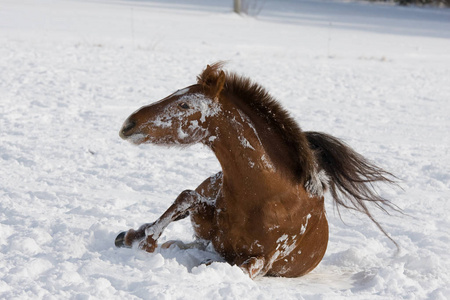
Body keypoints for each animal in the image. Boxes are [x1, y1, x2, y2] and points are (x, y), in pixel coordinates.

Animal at [115, 61, 398, 278]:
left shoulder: (262, 261)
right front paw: (142, 239)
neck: (263, 196)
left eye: (184, 105)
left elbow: (235, 265)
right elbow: (185, 198)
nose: (129, 124)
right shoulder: (207, 226)